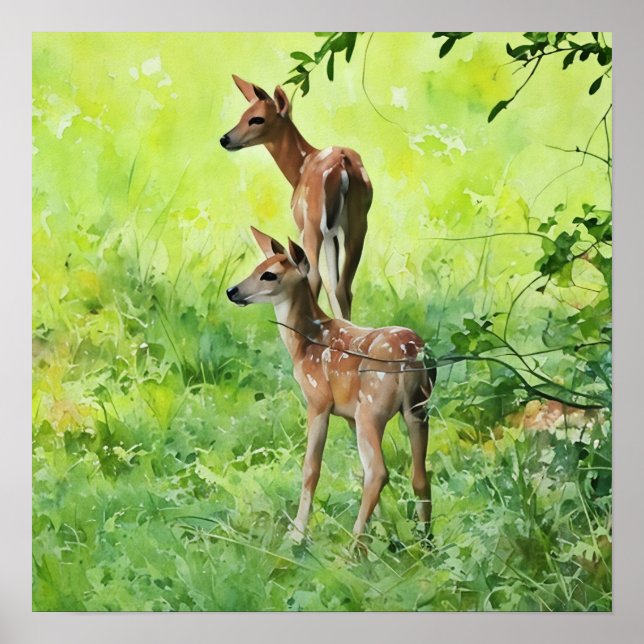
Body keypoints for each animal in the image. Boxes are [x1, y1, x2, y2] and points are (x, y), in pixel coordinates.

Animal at [220, 75, 373, 321]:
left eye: (256, 119)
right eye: (243, 115)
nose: (224, 139)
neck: (299, 169)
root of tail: (342, 167)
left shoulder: (307, 226)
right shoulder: (332, 234)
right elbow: (334, 286)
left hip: (311, 226)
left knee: (315, 277)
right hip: (358, 222)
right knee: (343, 287)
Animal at [226, 227, 434, 542]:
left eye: (269, 275)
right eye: (256, 267)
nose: (232, 291)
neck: (306, 342)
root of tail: (411, 355)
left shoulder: (318, 399)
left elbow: (311, 468)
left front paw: (296, 533)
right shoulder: (348, 413)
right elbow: (358, 469)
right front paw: (382, 526)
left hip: (372, 408)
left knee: (378, 472)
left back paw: (353, 546)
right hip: (417, 408)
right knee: (418, 474)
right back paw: (425, 541)